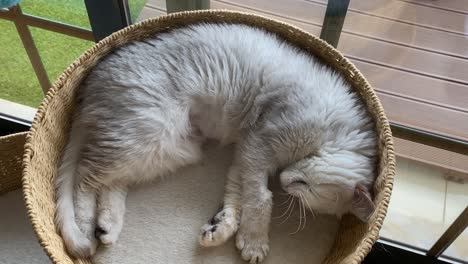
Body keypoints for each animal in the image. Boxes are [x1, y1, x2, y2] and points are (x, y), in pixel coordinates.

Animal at [54, 23, 376, 264]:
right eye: (304, 185)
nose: (285, 180)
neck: (333, 136)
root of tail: (89, 84)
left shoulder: (244, 155)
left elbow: (236, 198)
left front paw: (222, 228)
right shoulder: (258, 146)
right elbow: (261, 199)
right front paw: (254, 241)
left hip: (169, 149)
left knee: (111, 182)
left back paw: (108, 226)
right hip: (148, 133)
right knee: (85, 175)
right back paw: (86, 230)